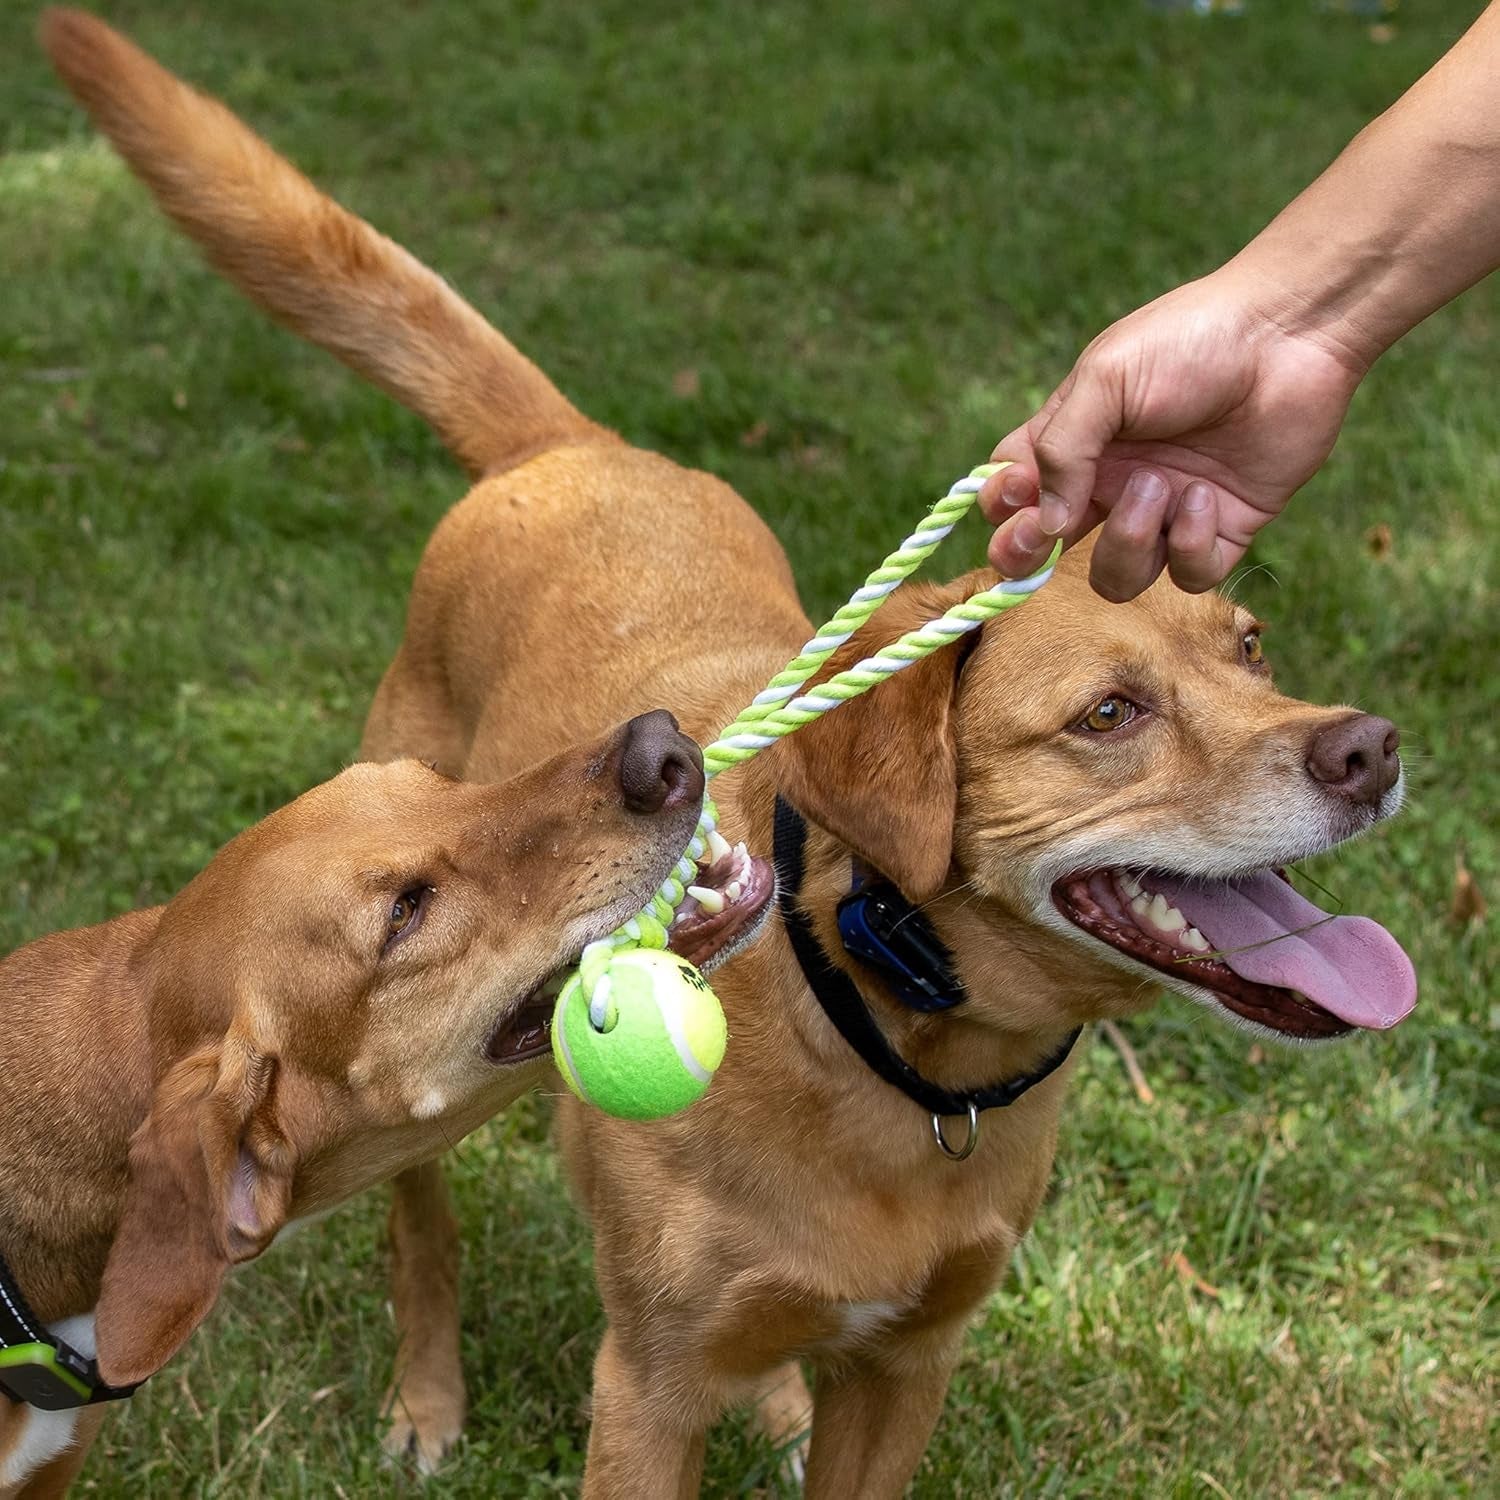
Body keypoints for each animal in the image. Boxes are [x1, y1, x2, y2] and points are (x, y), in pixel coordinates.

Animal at [46, 8, 1422, 1488]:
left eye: (1252, 647)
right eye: (1109, 715)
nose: (1369, 751)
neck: (897, 1045)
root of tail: (570, 445)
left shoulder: (910, 1367)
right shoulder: (646, 1390)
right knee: (422, 1227)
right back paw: (428, 1397)